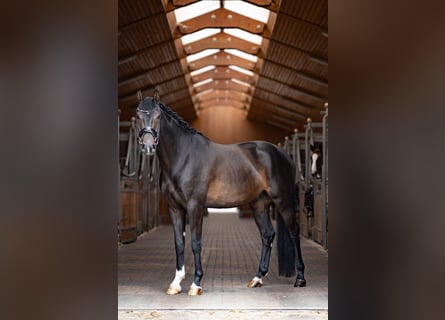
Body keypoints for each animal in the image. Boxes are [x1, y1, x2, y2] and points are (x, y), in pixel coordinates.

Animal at [135, 90, 306, 296]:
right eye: (137, 115)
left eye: (158, 116)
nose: (148, 147)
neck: (184, 156)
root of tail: (284, 155)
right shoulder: (175, 208)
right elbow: (179, 243)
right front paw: (175, 283)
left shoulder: (195, 207)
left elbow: (196, 243)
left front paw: (196, 284)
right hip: (259, 204)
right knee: (268, 235)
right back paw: (257, 278)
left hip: (283, 201)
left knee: (294, 233)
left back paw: (300, 278)